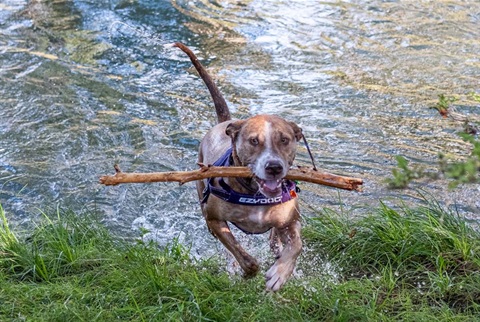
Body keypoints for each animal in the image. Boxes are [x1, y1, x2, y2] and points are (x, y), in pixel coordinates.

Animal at [174, 41, 302, 290]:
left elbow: (297, 245)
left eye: (284, 139)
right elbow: (243, 257)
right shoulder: (214, 220)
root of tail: (225, 122)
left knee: (276, 236)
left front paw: (279, 273)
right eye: (254, 141)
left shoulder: (292, 219)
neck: (254, 194)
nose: (274, 167)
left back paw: (276, 246)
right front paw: (244, 272)